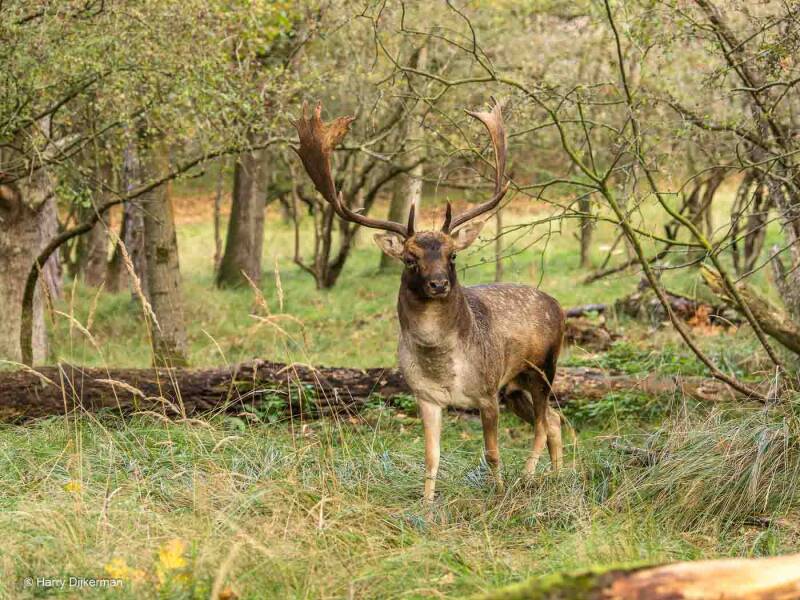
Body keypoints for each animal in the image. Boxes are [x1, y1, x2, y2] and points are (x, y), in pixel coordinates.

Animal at [291, 100, 565, 502]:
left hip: (543, 369)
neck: (443, 366)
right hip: (515, 387)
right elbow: (431, 457)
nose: (438, 284)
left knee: (544, 423)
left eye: (452, 255)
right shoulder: (425, 396)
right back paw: (560, 475)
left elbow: (492, 452)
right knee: (555, 420)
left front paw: (498, 493)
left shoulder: (487, 391)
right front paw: (426, 503)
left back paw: (531, 477)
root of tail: (558, 306)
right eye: (410, 258)